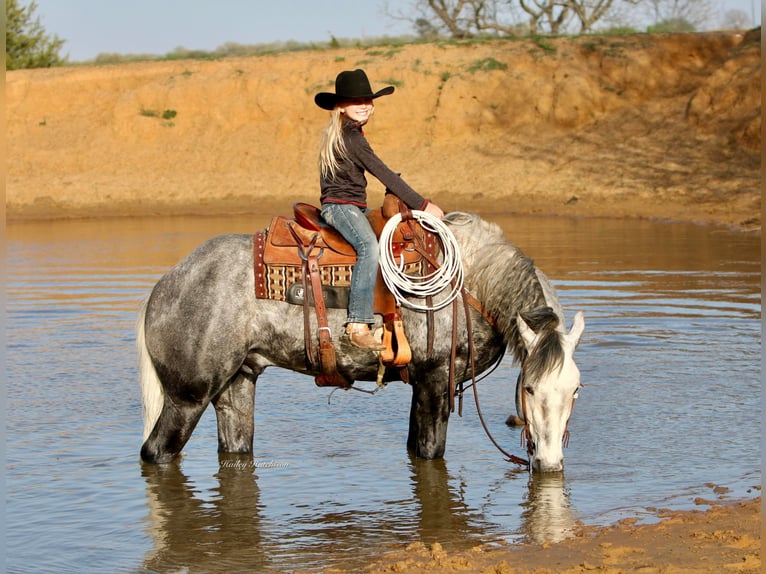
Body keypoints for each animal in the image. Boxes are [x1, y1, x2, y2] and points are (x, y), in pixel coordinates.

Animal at [138, 212, 584, 472]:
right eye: (529, 388)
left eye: (576, 391)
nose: (549, 463)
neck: (471, 281)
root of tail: (164, 285)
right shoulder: (435, 379)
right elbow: (430, 453)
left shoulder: (421, 385)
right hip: (188, 398)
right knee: (155, 453)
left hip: (237, 385)